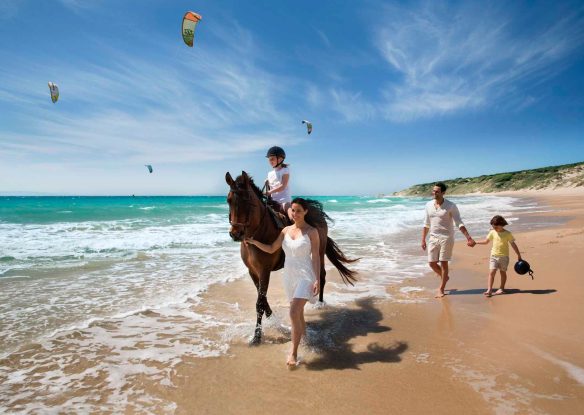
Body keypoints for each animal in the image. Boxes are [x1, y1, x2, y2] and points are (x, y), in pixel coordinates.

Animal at [227, 170, 356, 344]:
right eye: (228, 200)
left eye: (247, 201)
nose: (235, 234)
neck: (259, 232)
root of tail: (318, 213)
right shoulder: (252, 271)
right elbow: (263, 299)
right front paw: (274, 321)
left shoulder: (264, 270)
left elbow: (260, 302)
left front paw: (257, 336)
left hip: (319, 251)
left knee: (321, 275)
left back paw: (319, 304)